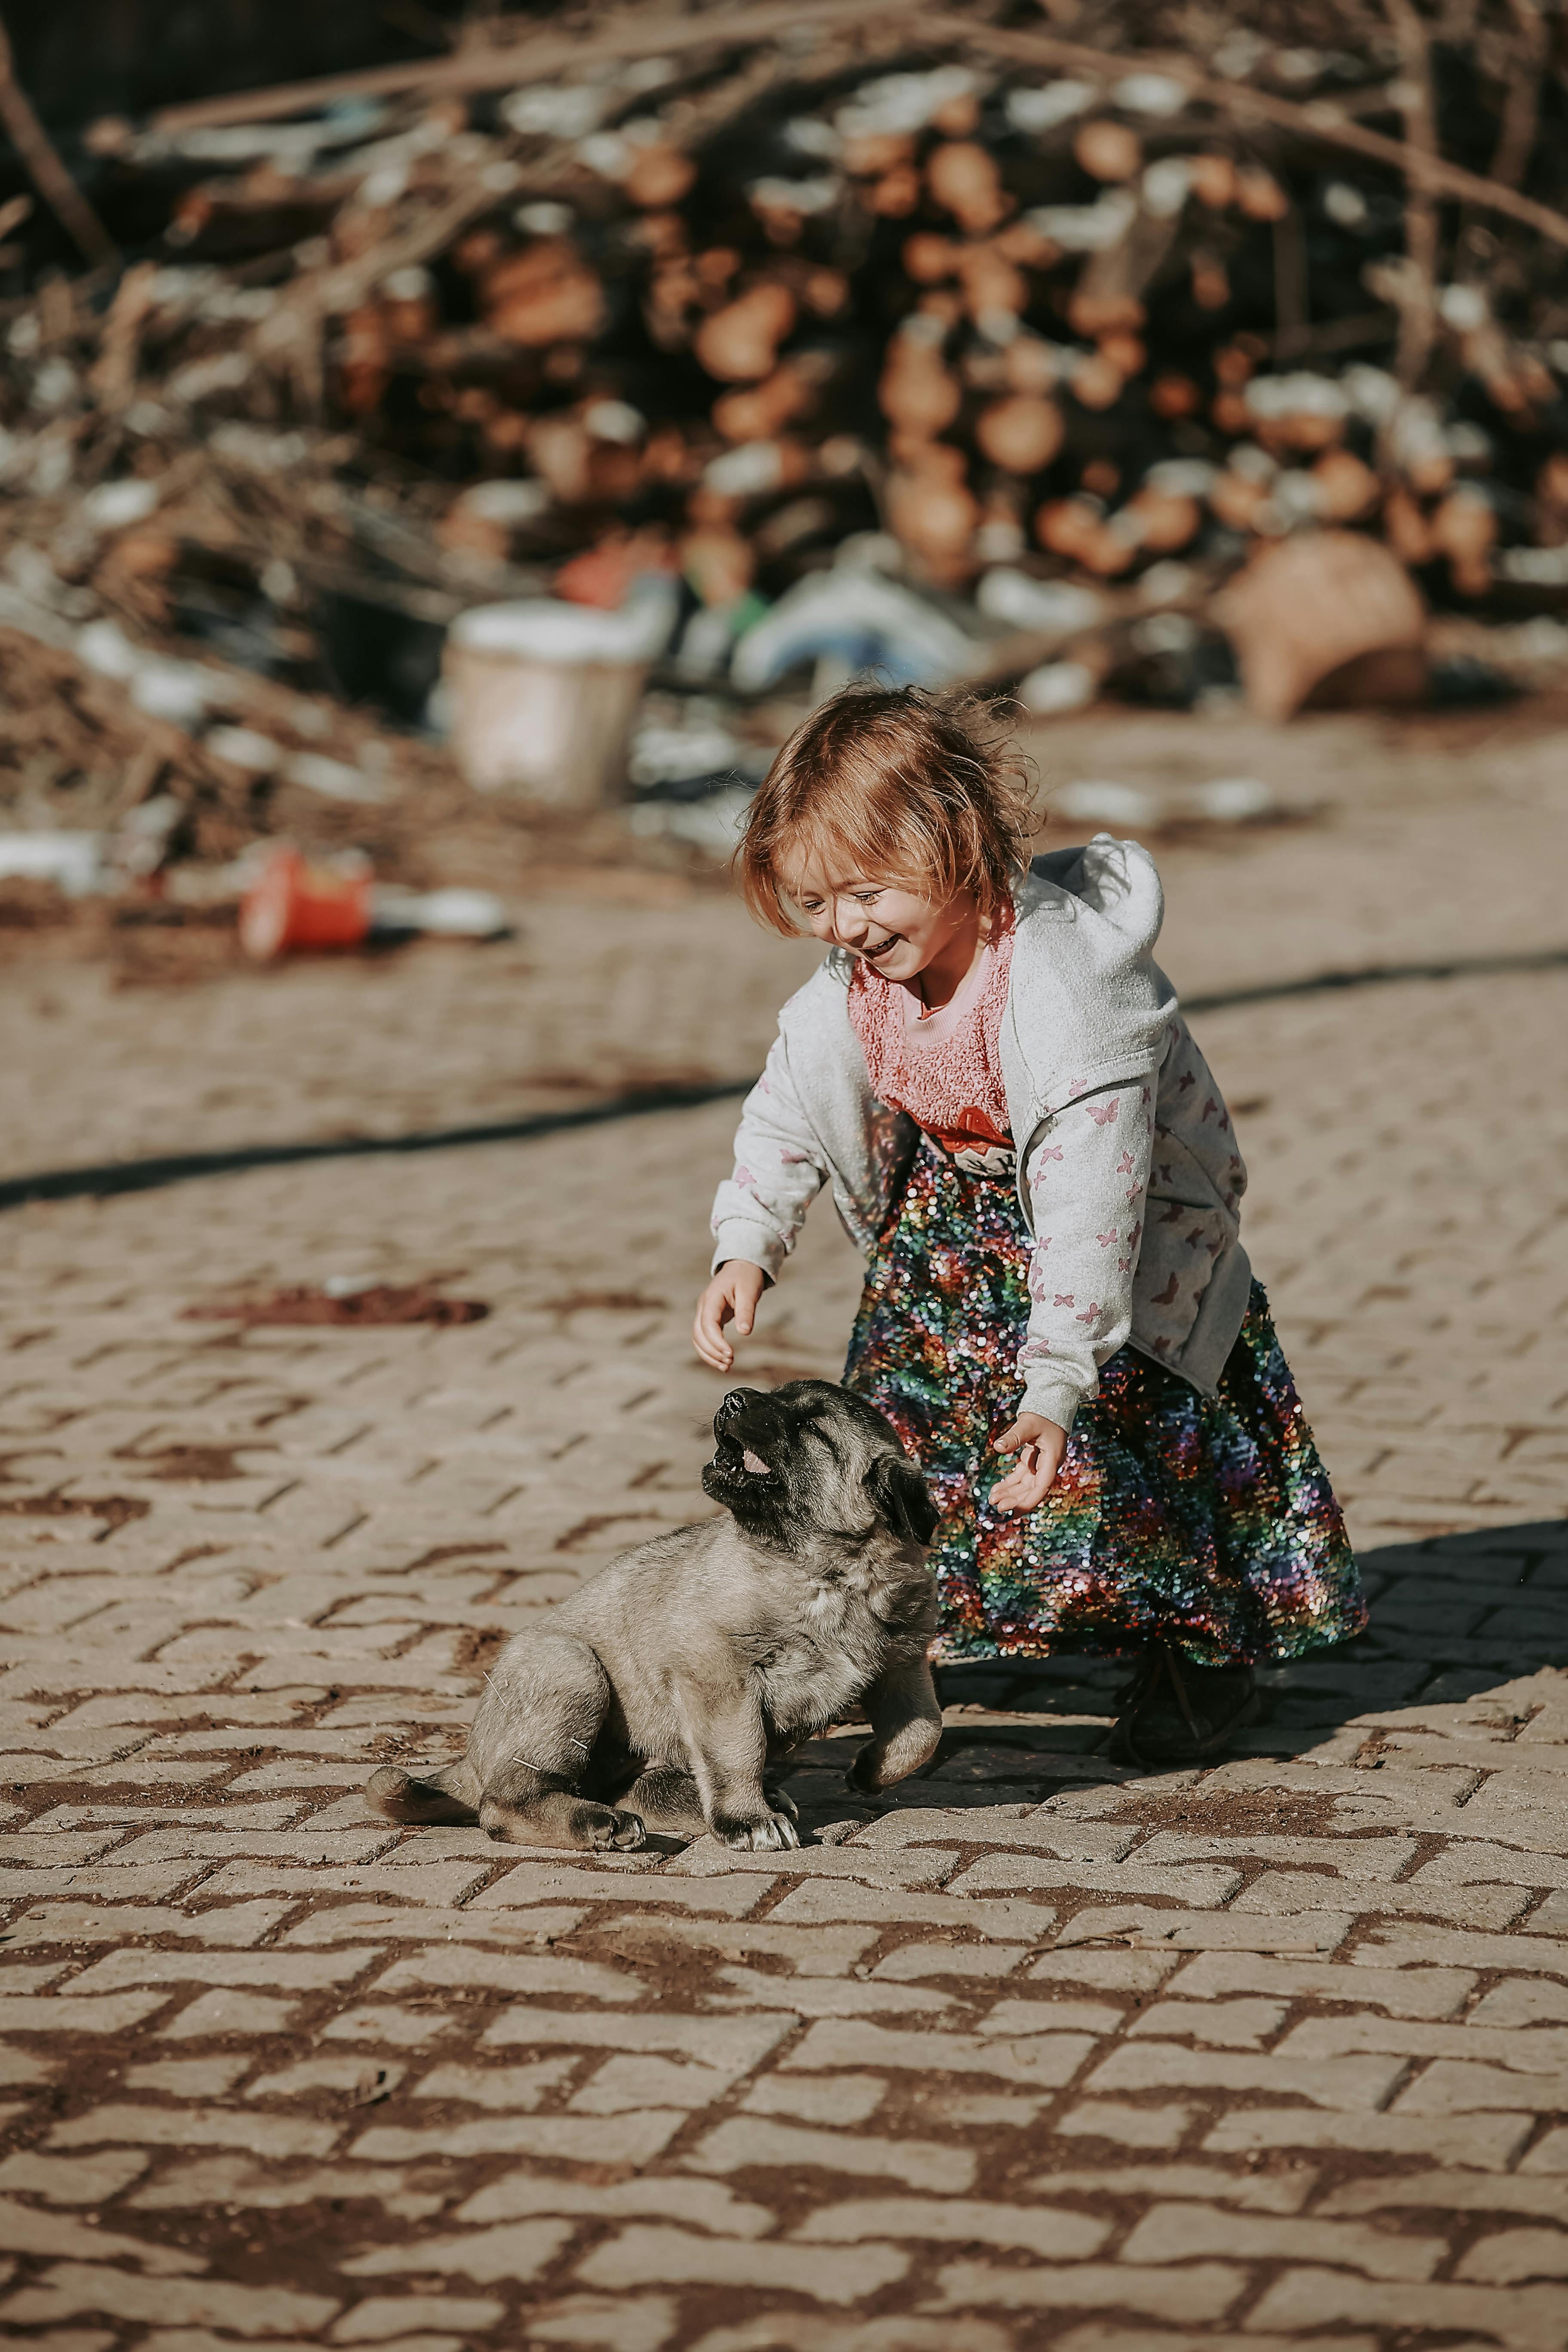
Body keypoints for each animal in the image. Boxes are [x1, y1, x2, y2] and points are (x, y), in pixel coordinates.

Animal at [369, 1373, 945, 1853]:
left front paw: (869, 1770)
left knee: (630, 1788)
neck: (824, 1573)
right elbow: (739, 1749)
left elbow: (924, 1733)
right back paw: (601, 1825)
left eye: (810, 1427)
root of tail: (471, 1760)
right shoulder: (719, 1675)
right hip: (569, 1667)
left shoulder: (903, 1665)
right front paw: (747, 1819)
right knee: (506, 1804)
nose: (733, 1397)